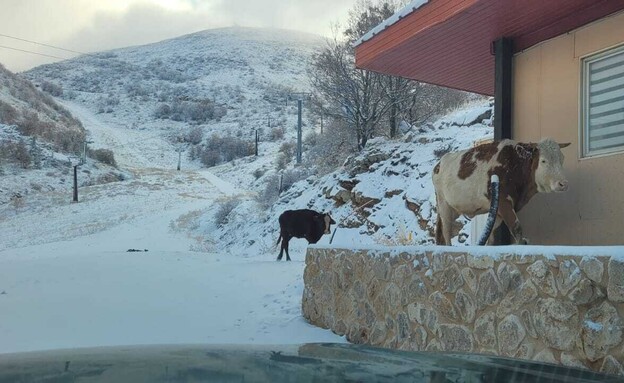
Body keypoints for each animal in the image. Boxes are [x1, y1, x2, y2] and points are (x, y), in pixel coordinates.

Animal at [434, 138, 572, 246]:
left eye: (562, 159)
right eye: (543, 160)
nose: (563, 183)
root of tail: (439, 164)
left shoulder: (499, 210)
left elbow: (491, 235)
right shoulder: (503, 202)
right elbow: (516, 227)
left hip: (454, 210)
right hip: (444, 205)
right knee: (446, 231)